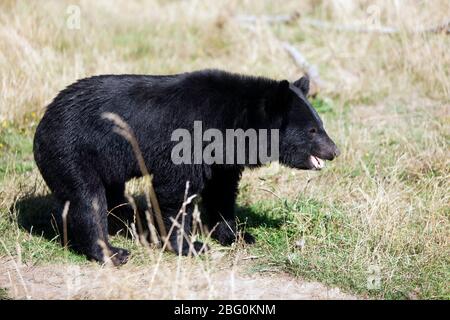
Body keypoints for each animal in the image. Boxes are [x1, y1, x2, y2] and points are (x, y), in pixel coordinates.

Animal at [33, 70, 340, 264]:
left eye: (320, 124)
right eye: (312, 130)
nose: (334, 151)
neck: (231, 124)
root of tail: (43, 121)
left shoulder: (221, 157)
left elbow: (221, 192)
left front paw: (237, 235)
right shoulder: (188, 141)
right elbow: (176, 191)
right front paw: (191, 246)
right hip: (73, 152)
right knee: (87, 200)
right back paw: (112, 253)